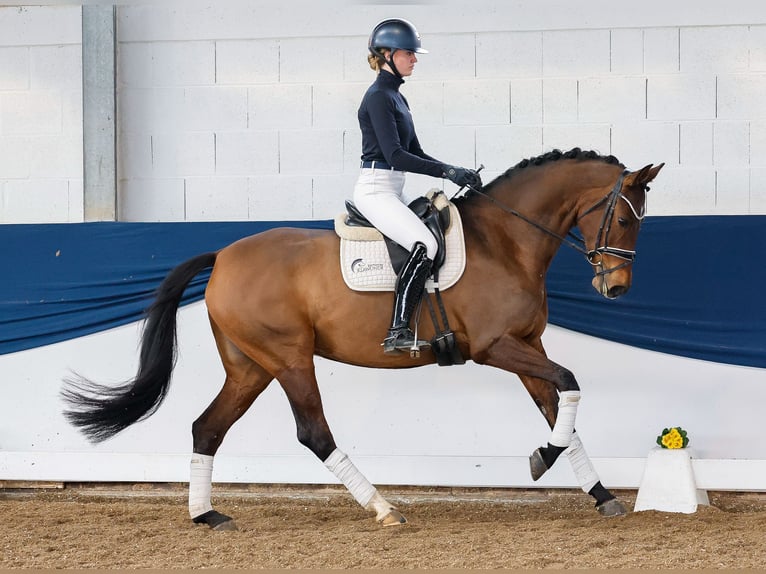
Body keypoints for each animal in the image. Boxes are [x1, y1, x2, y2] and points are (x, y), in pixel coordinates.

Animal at [63, 147, 664, 532]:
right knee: (313, 432)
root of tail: (223, 256)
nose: (615, 287)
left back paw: (206, 515)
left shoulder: (527, 346)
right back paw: (383, 508)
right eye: (625, 220)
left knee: (207, 427)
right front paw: (544, 459)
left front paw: (597, 492)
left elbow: (561, 406)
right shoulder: (496, 348)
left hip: (250, 366)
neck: (504, 241)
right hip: (288, 359)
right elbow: (569, 382)